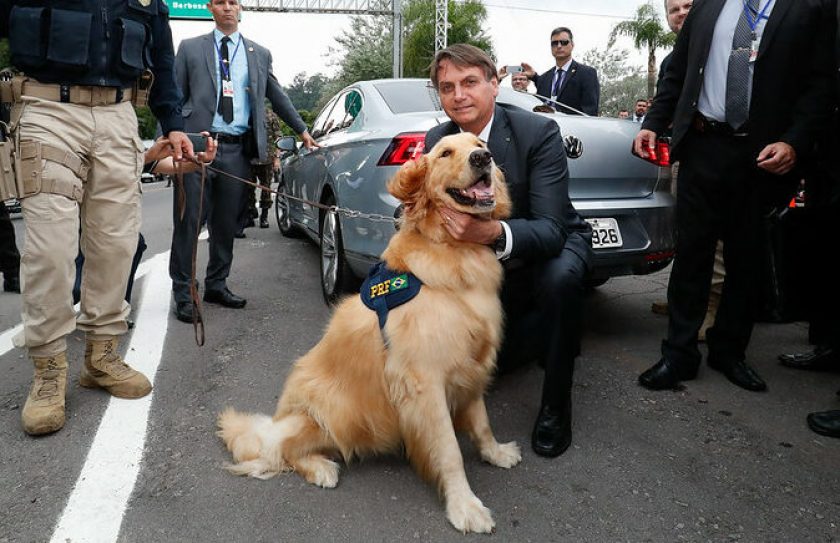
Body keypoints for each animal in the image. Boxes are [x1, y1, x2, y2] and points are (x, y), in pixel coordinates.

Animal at [217, 133, 520, 536]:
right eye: (445, 153)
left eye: (480, 143)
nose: (482, 158)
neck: (451, 249)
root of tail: (275, 423)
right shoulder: (425, 383)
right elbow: (449, 451)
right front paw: (464, 505)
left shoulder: (471, 365)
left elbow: (482, 423)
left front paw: (495, 452)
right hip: (330, 412)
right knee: (282, 452)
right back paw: (321, 468)